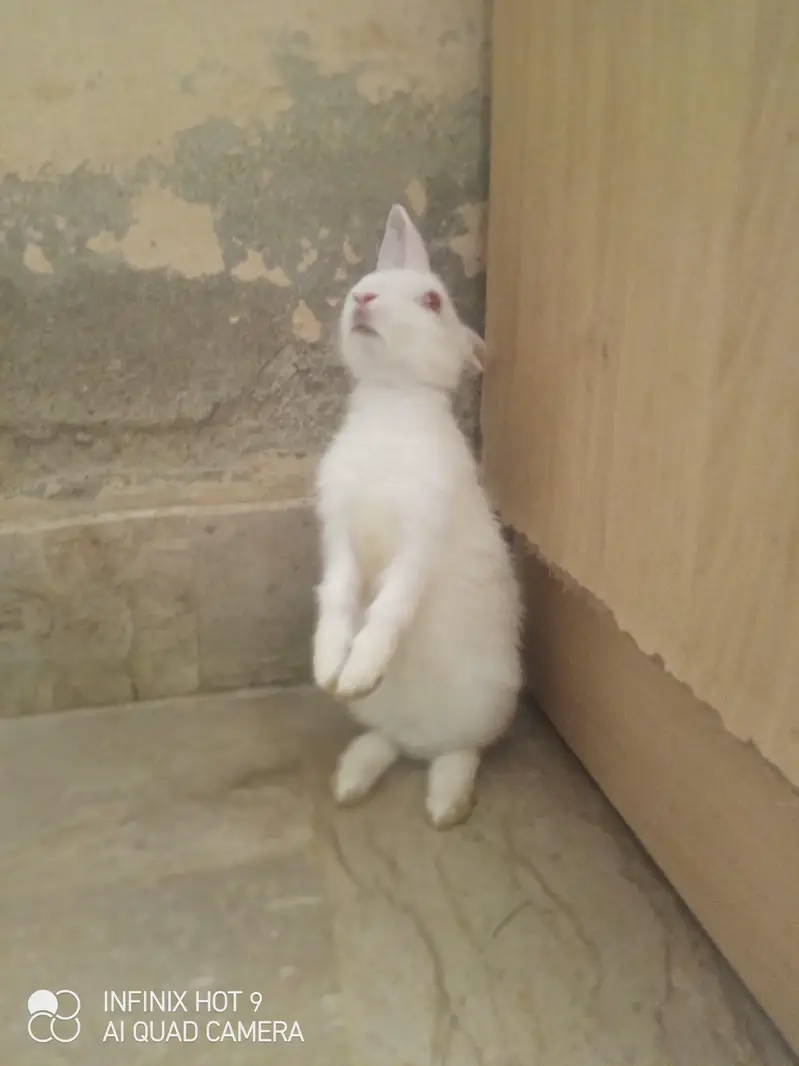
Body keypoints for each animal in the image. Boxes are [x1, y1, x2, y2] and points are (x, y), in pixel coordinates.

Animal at [313, 203, 522, 829]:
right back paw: (351, 780)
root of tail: (421, 740)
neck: (393, 397)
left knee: (461, 752)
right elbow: (338, 598)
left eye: (431, 301)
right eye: (371, 279)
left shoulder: (419, 539)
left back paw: (445, 804)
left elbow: (389, 607)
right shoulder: (340, 535)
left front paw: (360, 668)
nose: (362, 296)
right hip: (386, 723)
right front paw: (331, 670)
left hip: (486, 707)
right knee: (386, 743)